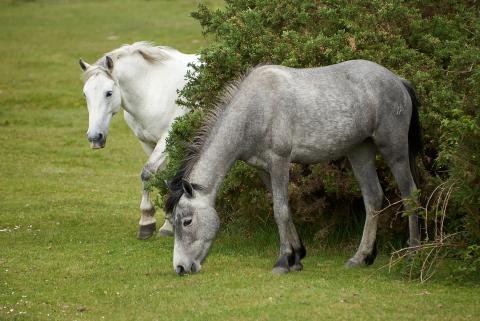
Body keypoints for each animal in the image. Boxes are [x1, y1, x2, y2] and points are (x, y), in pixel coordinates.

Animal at [79, 42, 198, 238]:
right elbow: (162, 178)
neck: (152, 89)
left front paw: (146, 221)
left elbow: (147, 173)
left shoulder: (167, 140)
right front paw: (168, 225)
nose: (95, 137)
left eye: (108, 93)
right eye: (85, 94)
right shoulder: (148, 143)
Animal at [165, 58, 420, 274]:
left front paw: (282, 261)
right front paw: (296, 257)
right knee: (373, 198)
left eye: (187, 221)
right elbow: (283, 209)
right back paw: (361, 257)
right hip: (360, 151)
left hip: (394, 150)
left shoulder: (279, 161)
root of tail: (398, 81)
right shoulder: (263, 169)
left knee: (410, 195)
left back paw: (412, 256)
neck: (256, 109)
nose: (180, 268)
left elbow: (280, 210)